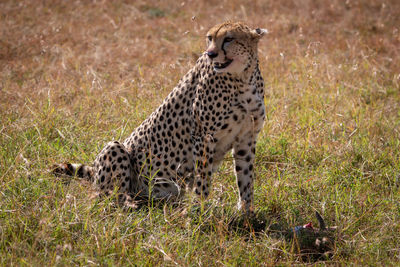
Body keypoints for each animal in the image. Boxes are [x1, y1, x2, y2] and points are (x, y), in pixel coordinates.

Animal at [52, 21, 266, 214]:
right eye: (210, 38)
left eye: (229, 39)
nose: (210, 54)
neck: (242, 79)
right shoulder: (204, 137)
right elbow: (203, 178)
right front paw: (200, 211)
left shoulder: (246, 138)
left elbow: (246, 178)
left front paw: (246, 213)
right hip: (116, 149)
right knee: (107, 197)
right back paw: (128, 204)